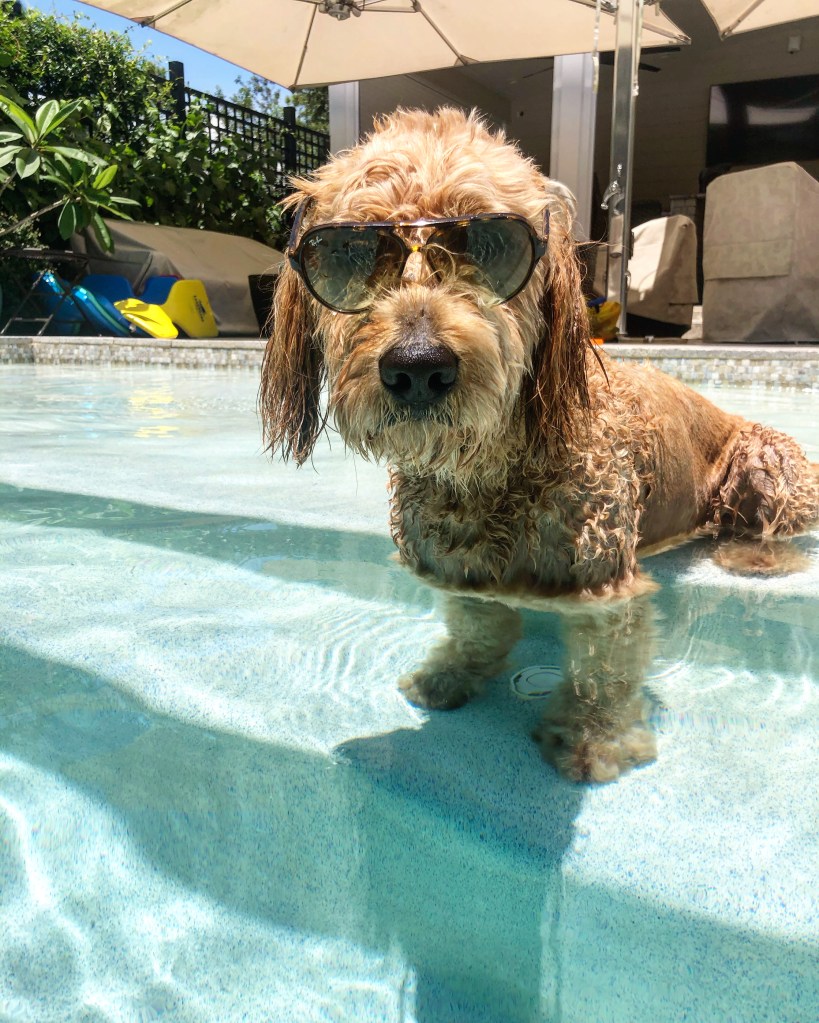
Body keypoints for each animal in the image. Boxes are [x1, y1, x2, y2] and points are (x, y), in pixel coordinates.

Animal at [260, 108, 819, 782]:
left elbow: (603, 668)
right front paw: (451, 673)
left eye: (490, 243)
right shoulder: (463, 576)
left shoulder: (606, 589)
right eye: (351, 250)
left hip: (768, 463)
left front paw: (594, 737)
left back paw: (753, 557)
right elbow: (477, 627)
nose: (418, 366)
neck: (493, 470)